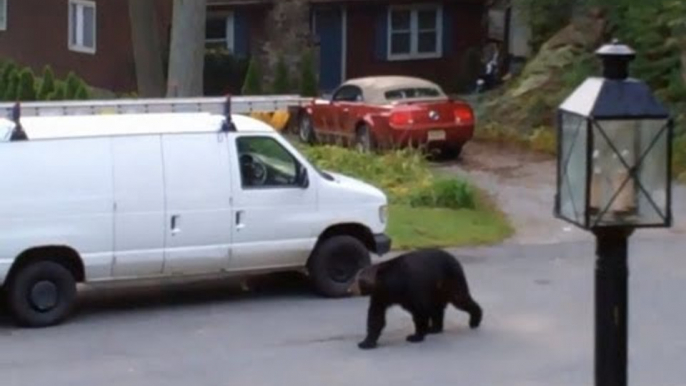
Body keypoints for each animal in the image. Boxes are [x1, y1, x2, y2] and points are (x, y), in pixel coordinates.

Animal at [352, 249, 482, 348]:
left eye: (357, 280)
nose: (350, 289)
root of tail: (455, 259)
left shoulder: (412, 288)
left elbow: (419, 311)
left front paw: (415, 336)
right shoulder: (381, 295)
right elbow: (376, 315)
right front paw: (366, 342)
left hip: (451, 280)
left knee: (460, 298)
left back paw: (475, 320)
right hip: (436, 289)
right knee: (437, 308)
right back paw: (435, 328)